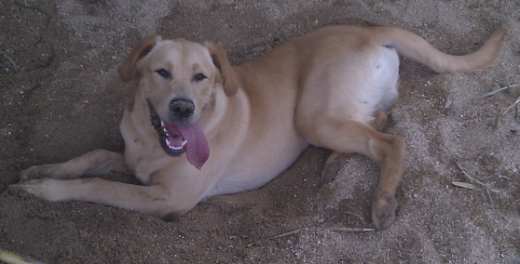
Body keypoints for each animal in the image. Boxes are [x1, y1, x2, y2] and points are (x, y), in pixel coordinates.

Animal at [16, 25, 504, 231]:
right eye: (160, 72)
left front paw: (45, 191)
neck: (149, 139)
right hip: (338, 114)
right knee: (380, 122)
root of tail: (371, 28)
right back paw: (334, 164)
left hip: (313, 115)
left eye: (202, 77)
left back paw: (382, 200)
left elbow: (100, 186)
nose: (183, 108)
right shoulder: (133, 160)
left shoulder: (169, 198)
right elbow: (94, 156)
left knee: (394, 141)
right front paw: (41, 171)